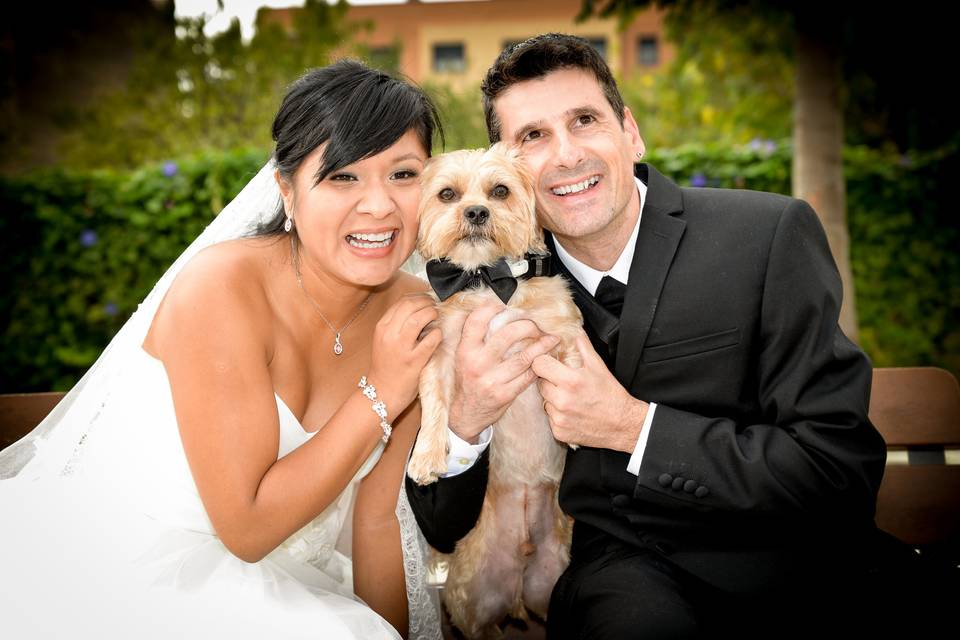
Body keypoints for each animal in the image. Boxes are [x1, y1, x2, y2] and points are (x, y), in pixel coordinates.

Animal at [406, 142, 580, 636]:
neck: (485, 280)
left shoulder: (560, 330)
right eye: (447, 194)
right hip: (472, 606)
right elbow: (435, 404)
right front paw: (427, 456)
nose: (477, 211)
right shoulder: (439, 353)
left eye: (499, 190)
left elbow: (572, 368)